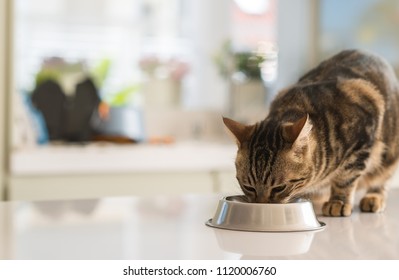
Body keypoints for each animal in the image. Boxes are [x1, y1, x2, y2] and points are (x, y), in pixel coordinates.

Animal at [223, 49, 399, 217]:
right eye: (248, 187)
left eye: (279, 188)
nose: (261, 205)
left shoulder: (362, 137)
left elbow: (345, 177)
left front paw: (338, 201)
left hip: (389, 156)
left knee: (381, 179)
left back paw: (374, 197)